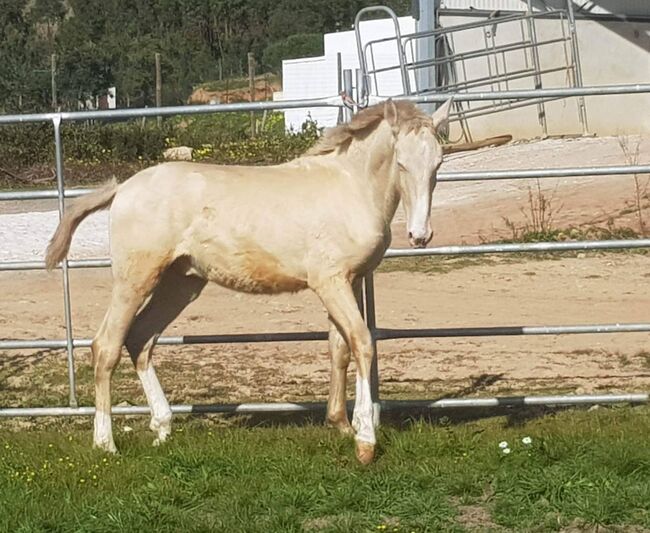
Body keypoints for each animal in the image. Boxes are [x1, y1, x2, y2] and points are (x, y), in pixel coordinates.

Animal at [46, 97, 450, 464]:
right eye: (401, 163)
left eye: (438, 164)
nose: (420, 235)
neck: (349, 186)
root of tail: (123, 188)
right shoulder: (330, 282)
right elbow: (363, 343)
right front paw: (365, 441)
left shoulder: (349, 280)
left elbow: (340, 346)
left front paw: (340, 425)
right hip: (135, 278)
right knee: (106, 346)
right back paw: (105, 443)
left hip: (181, 283)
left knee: (141, 338)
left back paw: (162, 427)